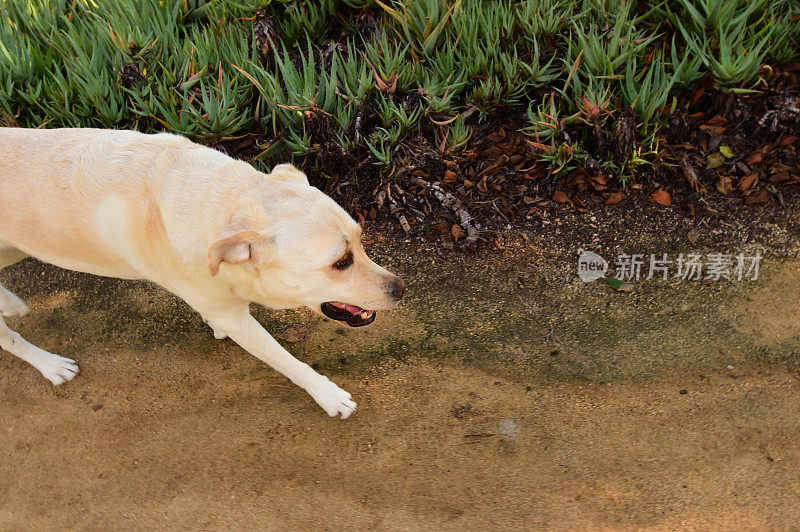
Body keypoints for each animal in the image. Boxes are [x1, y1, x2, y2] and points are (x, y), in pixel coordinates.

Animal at [0, 127, 406, 418]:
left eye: (361, 239)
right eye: (341, 262)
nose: (401, 289)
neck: (222, 202)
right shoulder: (236, 318)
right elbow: (286, 361)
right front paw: (328, 394)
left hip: (14, 248)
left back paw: (8, 302)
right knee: (9, 341)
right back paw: (49, 364)